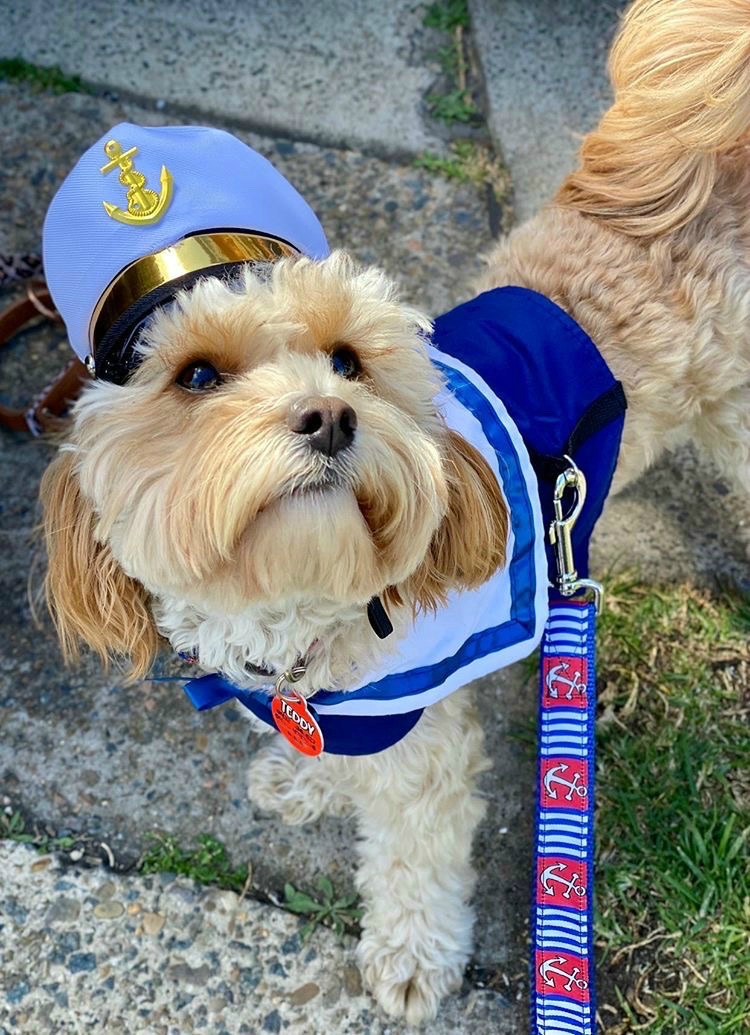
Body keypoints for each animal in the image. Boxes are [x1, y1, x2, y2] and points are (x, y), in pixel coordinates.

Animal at [39, 0, 748, 1022]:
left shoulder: (427, 743)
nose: (332, 415)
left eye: (346, 359)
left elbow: (415, 856)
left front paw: (412, 956)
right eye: (198, 375)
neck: (302, 614)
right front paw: (308, 778)